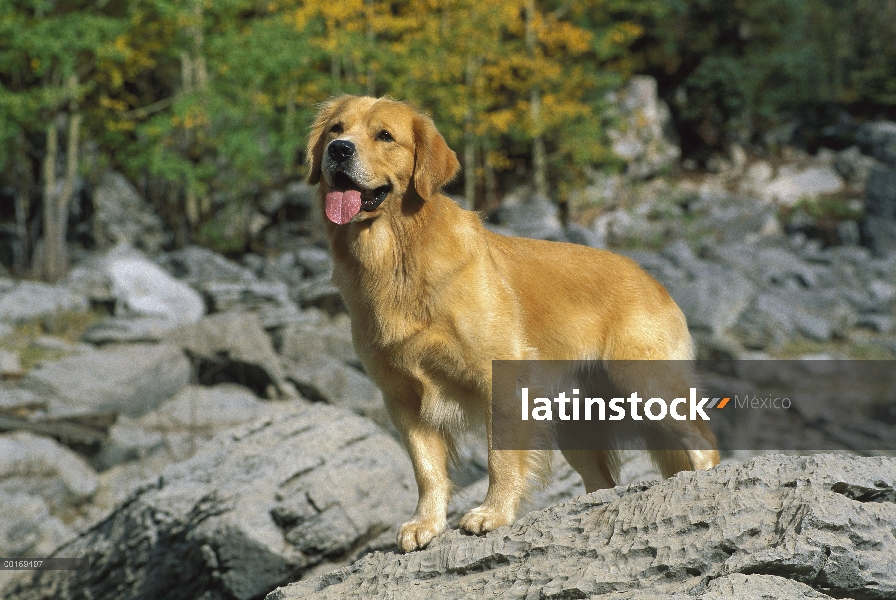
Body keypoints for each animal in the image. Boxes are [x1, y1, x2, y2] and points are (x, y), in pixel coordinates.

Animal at [308, 95, 720, 552]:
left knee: (704, 442)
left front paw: (493, 513)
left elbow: (500, 457)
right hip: (577, 422)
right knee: (603, 479)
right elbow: (426, 467)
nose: (339, 150)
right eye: (336, 129)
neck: (396, 258)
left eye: (384, 135)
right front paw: (425, 523)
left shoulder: (500, 378)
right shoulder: (402, 397)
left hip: (647, 384)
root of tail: (652, 280)